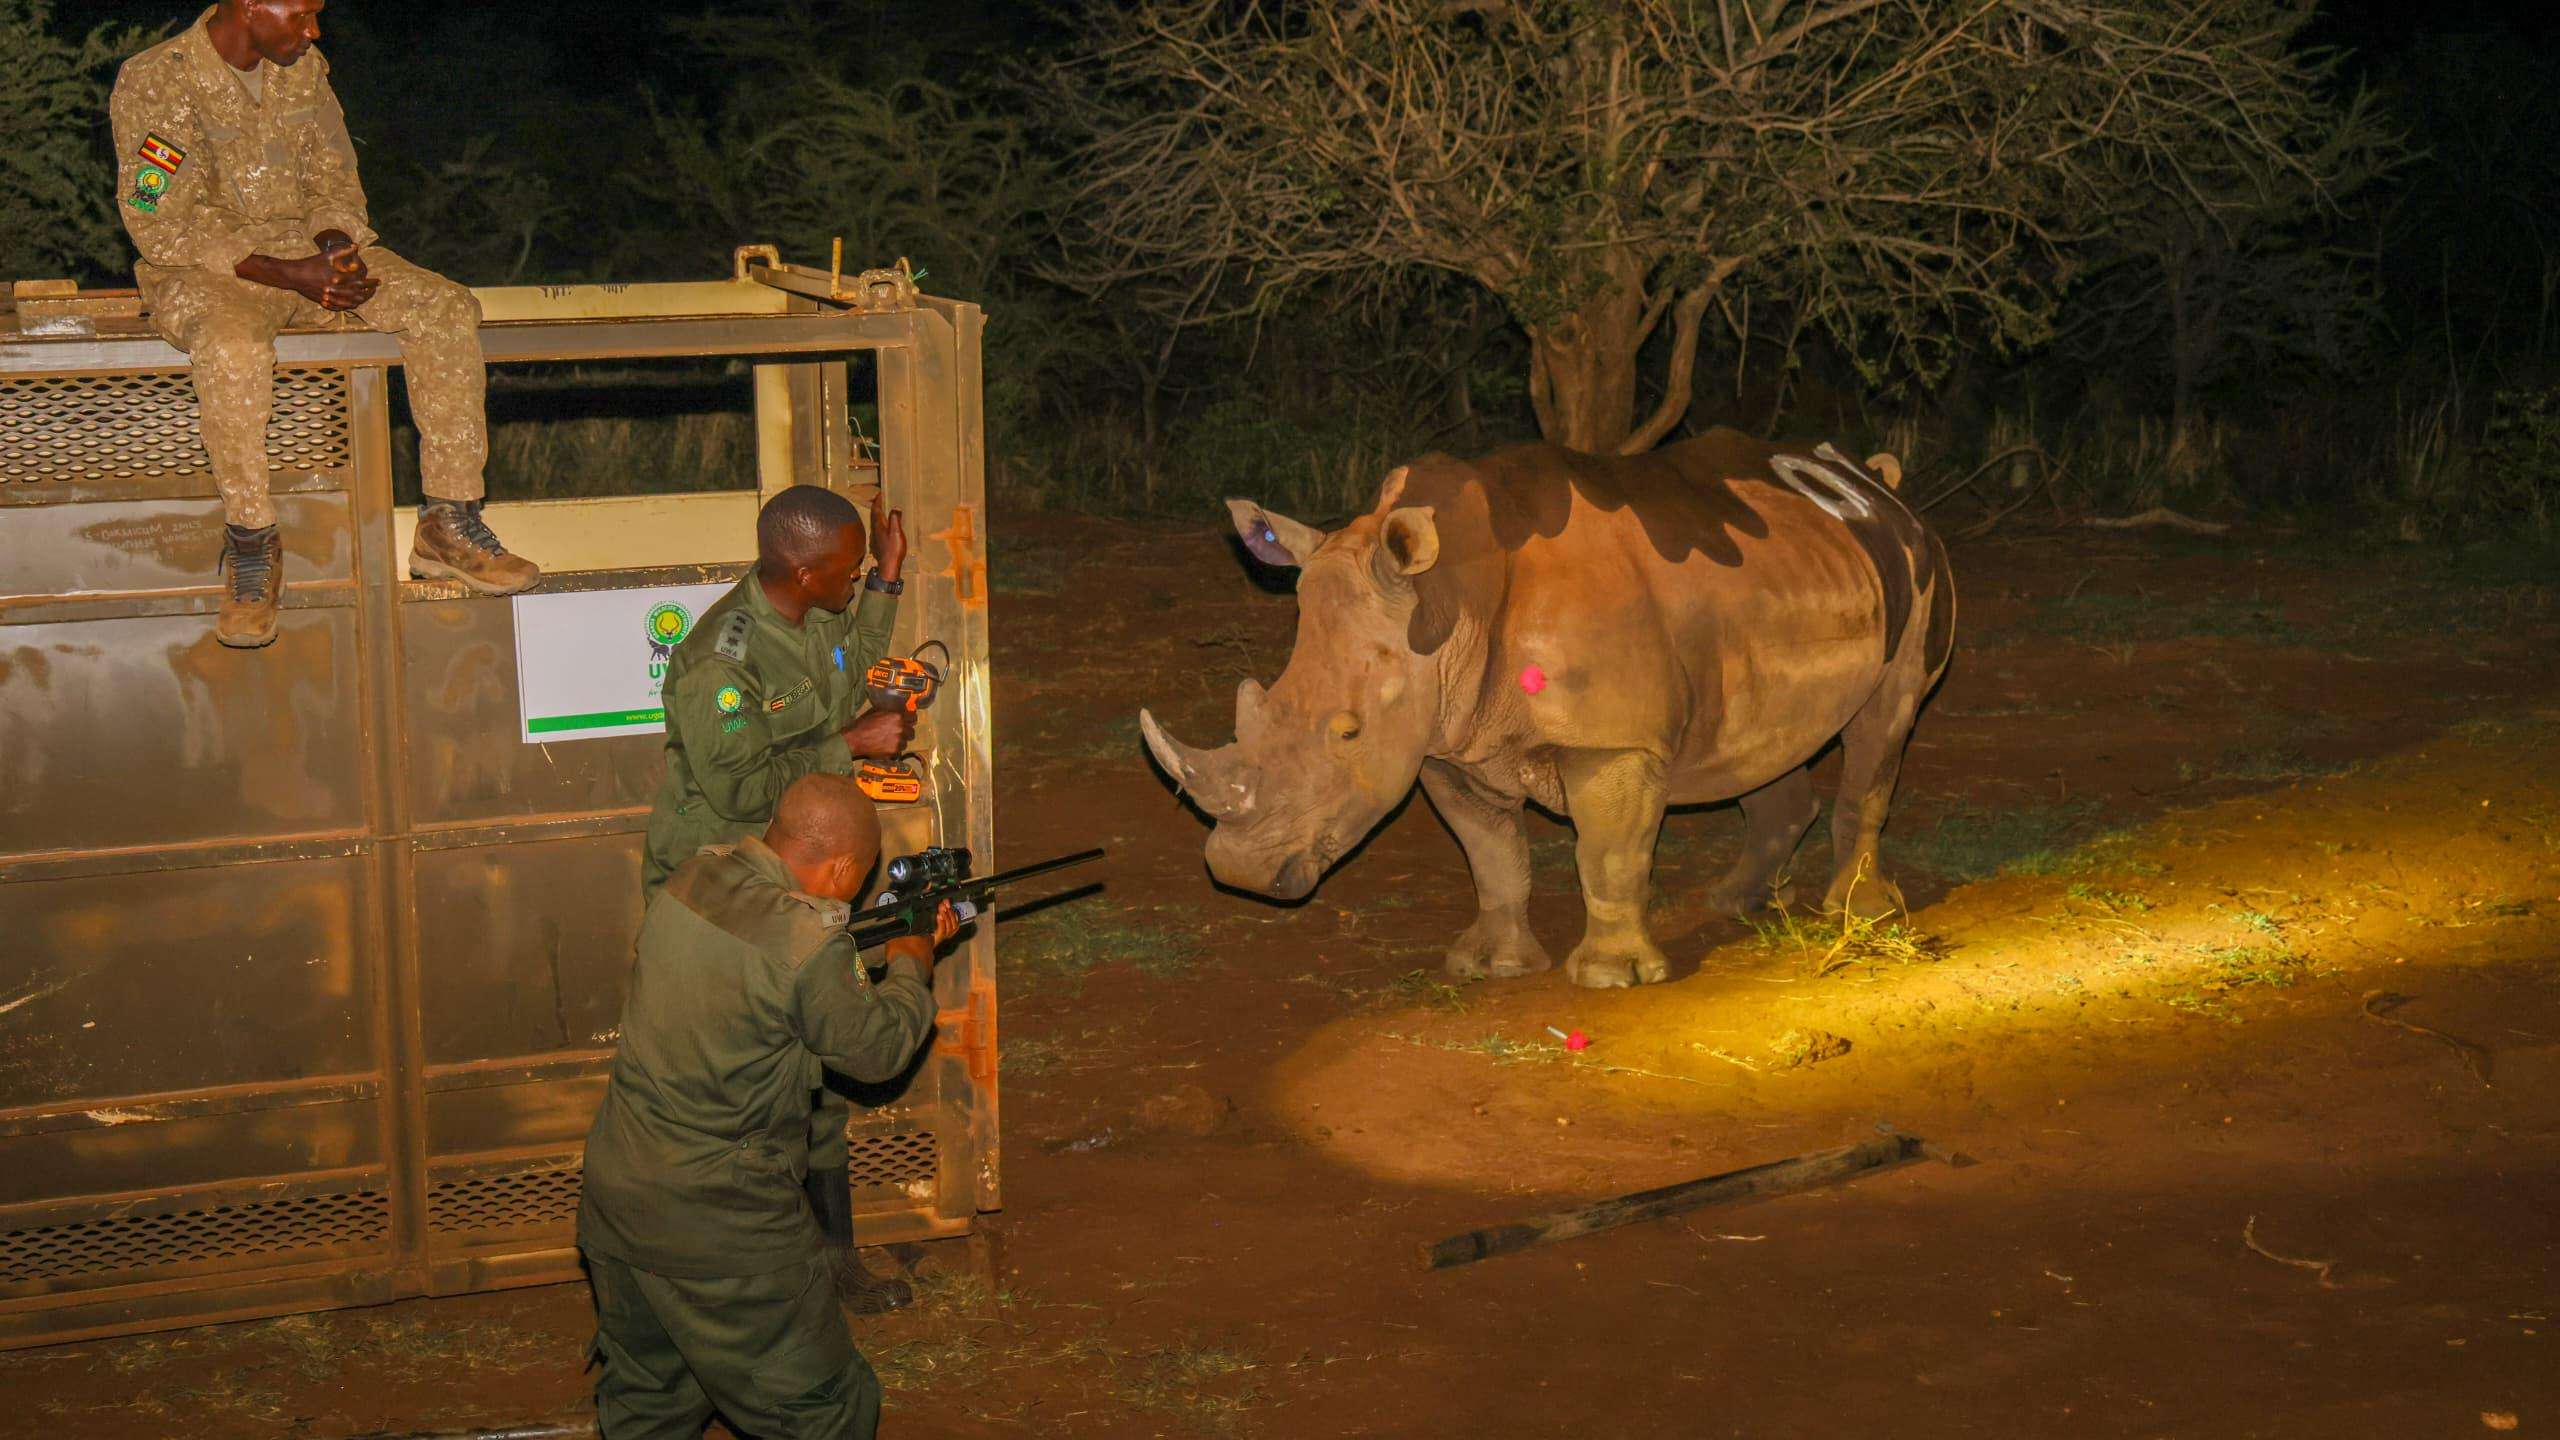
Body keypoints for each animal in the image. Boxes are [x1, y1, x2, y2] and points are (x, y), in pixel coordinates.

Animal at [1138, 429, 1956, 988]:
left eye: (1347, 732)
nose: (1240, 872)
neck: (1446, 602)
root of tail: (1876, 483)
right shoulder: (1448, 740)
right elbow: (1492, 855)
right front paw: (1489, 966)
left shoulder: (1612, 739)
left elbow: (1609, 852)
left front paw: (1611, 978)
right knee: (1764, 741)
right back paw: (1735, 903)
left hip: (1918, 576)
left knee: (1883, 728)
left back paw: (1858, 916)